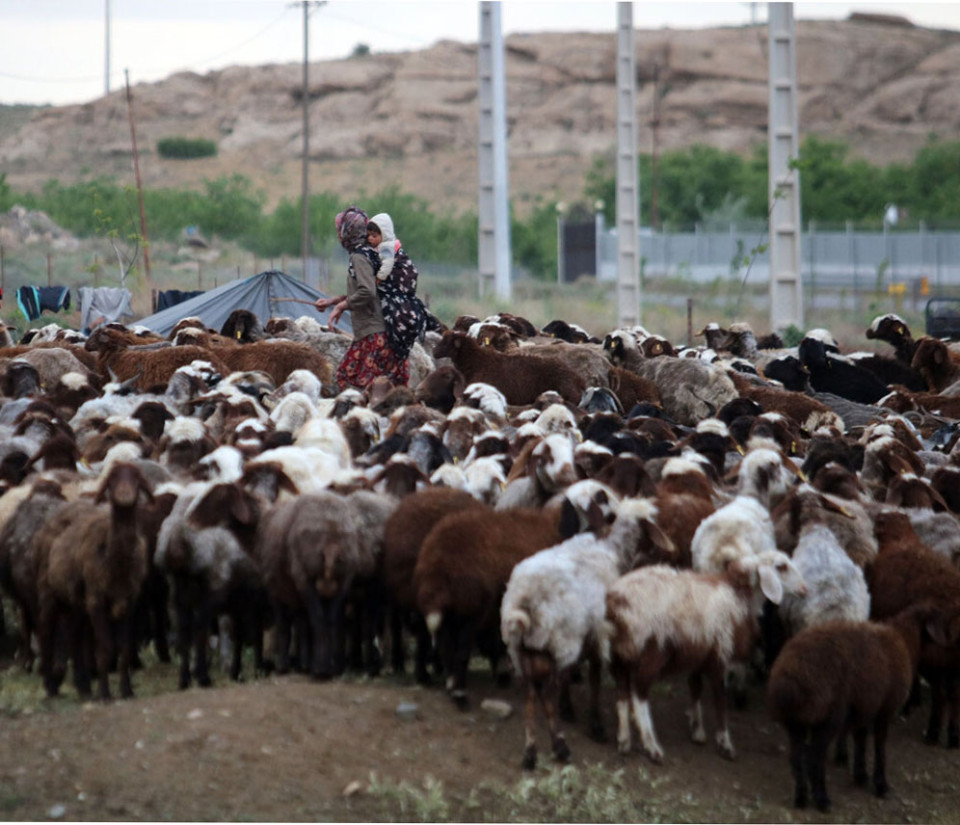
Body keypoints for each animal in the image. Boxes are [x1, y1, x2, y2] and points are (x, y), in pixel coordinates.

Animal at [34, 460, 154, 700]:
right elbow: (105, 648)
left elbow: (124, 647)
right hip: (48, 593)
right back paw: (50, 687)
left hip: (75, 604)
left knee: (73, 637)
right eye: (112, 479)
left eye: (137, 478)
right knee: (45, 634)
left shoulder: (129, 601)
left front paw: (126, 690)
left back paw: (83, 687)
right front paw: (105, 694)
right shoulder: (96, 600)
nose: (124, 494)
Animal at [502, 498, 676, 768]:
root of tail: (525, 602)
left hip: (522, 651)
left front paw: (572, 709)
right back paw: (559, 745)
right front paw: (595, 723)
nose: (660, 553)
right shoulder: (597, 633)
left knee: (531, 696)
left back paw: (530, 751)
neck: (612, 548)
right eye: (651, 525)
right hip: (562, 643)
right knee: (547, 695)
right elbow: (594, 677)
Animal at [604, 548, 808, 760]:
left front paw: (698, 731)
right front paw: (725, 743)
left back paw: (624, 740)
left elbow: (695, 689)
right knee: (639, 695)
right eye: (781, 567)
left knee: (622, 694)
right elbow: (720, 701)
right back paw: (651, 745)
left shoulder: (698, 652)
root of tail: (616, 603)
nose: (805, 589)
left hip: (619, 655)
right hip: (651, 652)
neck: (738, 594)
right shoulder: (720, 654)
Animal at [764, 604, 952, 812]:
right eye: (941, 621)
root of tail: (787, 681)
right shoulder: (884, 710)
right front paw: (881, 785)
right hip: (828, 718)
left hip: (795, 722)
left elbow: (860, 740)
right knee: (814, 758)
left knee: (796, 759)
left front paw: (861, 776)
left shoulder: (864, 708)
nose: (950, 644)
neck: (904, 641)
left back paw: (801, 799)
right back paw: (822, 800)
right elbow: (880, 748)